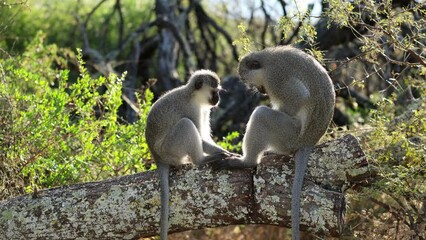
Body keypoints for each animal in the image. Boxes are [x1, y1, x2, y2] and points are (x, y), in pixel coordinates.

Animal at [146, 69, 233, 240]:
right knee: (185, 124)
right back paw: (202, 159)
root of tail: (157, 157)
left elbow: (205, 137)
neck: (193, 95)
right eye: (214, 91)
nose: (217, 99)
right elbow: (201, 138)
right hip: (169, 148)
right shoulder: (191, 109)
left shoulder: (205, 110)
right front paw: (226, 153)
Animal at [215, 45, 334, 240]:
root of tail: (307, 142)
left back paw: (247, 161)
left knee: (261, 114)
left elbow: (299, 97)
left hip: (288, 135)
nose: (260, 91)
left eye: (248, 81)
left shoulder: (276, 77)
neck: (266, 60)